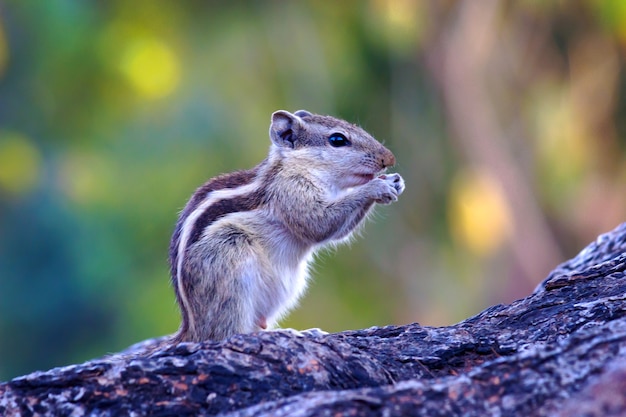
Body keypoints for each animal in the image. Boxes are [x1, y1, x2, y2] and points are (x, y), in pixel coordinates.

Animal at [169, 108, 404, 342]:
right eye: (338, 140)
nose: (389, 159)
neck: (296, 166)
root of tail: (191, 329)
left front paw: (395, 181)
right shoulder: (290, 190)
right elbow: (318, 223)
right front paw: (377, 187)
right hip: (229, 265)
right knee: (227, 332)